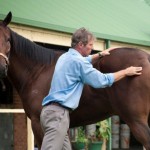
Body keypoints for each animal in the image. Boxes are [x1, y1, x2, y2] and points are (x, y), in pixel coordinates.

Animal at [0, 12, 150, 150]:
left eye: (7, 40)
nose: (1, 67)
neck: (36, 71)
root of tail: (146, 57)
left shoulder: (38, 124)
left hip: (136, 120)